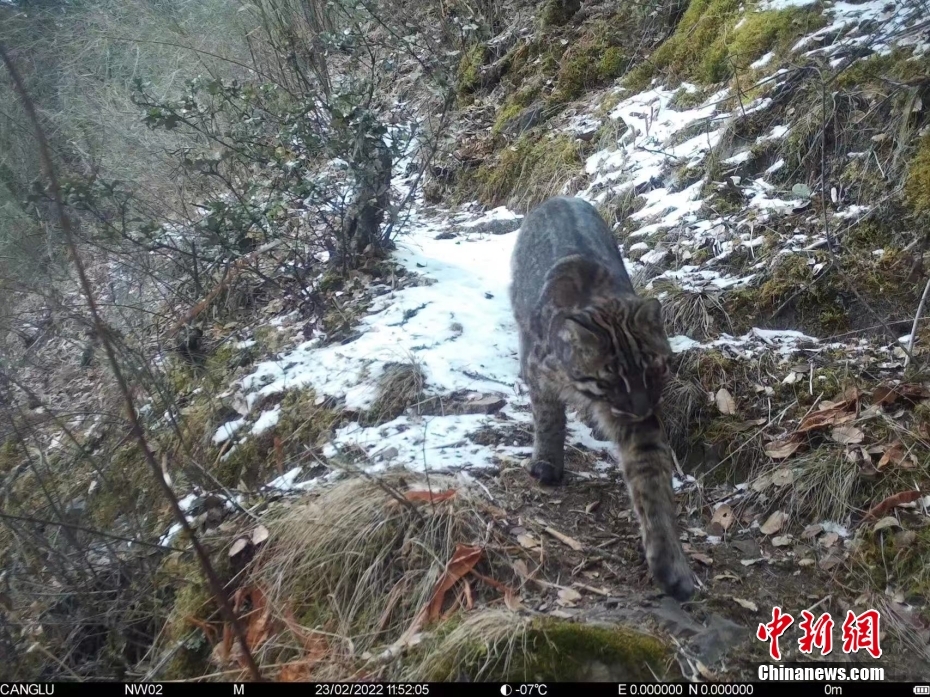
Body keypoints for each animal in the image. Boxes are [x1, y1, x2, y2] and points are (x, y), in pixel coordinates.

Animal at [509, 196, 694, 601]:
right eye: (611, 380)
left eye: (654, 370)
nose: (640, 407)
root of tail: (559, 197)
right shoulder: (541, 374)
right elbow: (548, 418)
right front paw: (547, 461)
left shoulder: (641, 425)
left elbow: (651, 481)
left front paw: (669, 562)